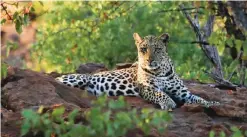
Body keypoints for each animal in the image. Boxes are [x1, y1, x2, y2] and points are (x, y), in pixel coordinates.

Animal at [56, 32, 220, 110]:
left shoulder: (183, 93)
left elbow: (198, 99)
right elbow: (160, 93)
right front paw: (169, 103)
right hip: (79, 78)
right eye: (143, 49)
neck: (161, 71)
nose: (149, 60)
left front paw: (213, 103)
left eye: (157, 49)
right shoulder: (146, 88)